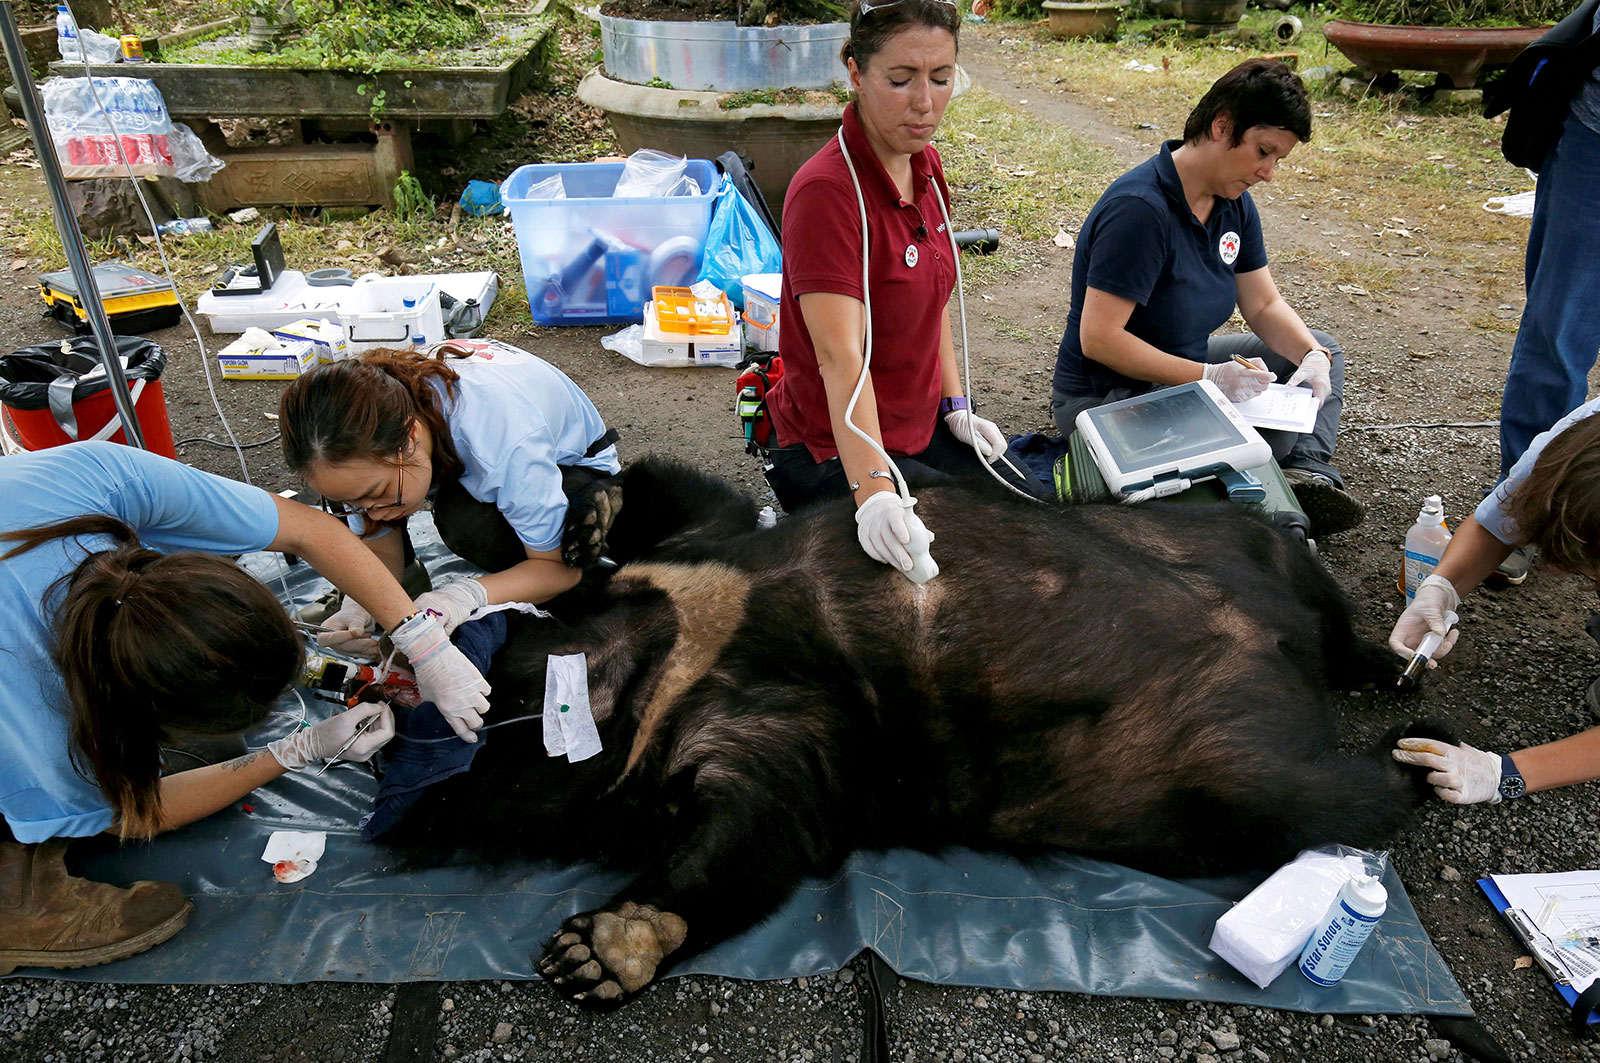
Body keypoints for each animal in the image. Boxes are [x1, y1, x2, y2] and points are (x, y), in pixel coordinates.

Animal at [377, 457, 1440, 1005]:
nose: (382, 704)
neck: (640, 668)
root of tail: (1275, 642)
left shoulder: (701, 567)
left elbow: (691, 501)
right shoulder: (753, 723)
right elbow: (766, 814)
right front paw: (614, 941)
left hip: (1201, 542)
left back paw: (1411, 719)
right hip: (1196, 732)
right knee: (1299, 781)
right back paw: (1405, 727)